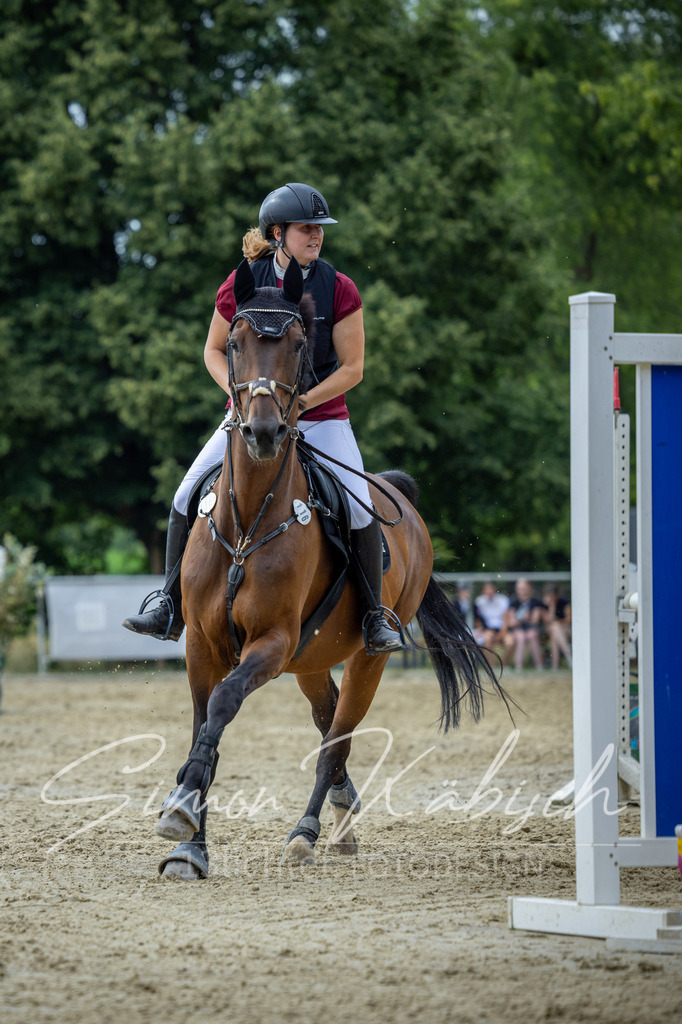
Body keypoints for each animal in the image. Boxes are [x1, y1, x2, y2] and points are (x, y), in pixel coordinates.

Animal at [155, 255, 507, 879]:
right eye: (236, 343)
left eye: (299, 345)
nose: (264, 433)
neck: (247, 523)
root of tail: (399, 496)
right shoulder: (202, 643)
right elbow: (203, 725)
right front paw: (189, 844)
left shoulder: (270, 642)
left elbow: (223, 706)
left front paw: (181, 811)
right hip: (311, 659)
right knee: (327, 721)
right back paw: (342, 812)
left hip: (365, 656)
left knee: (337, 736)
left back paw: (308, 831)